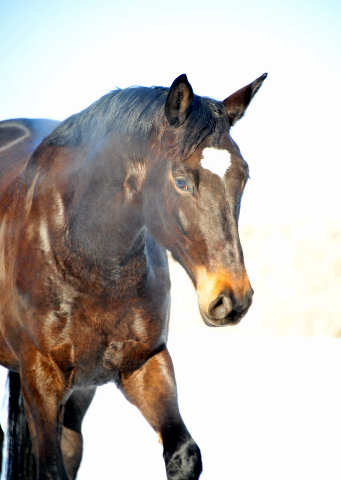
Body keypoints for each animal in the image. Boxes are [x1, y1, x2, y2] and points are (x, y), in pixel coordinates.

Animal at [0, 72, 266, 480]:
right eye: (180, 180)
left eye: (244, 176)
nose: (232, 299)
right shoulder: (40, 375)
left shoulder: (146, 363)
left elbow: (184, 453)